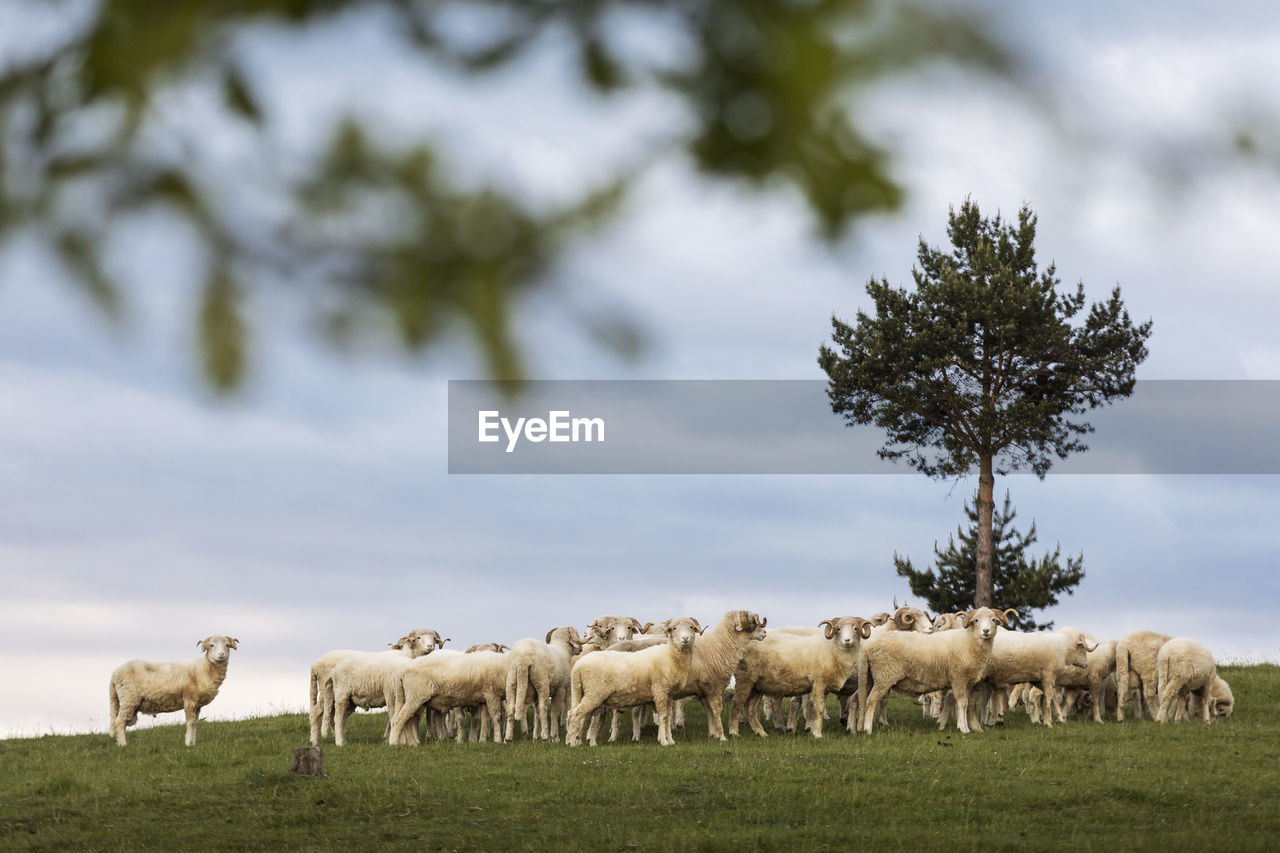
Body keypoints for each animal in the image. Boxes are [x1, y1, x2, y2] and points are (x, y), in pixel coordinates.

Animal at [108, 630, 240, 742]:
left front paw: (193, 743)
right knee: (119, 722)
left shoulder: (197, 704)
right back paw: (123, 745)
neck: (203, 669)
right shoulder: (189, 700)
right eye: (211, 645)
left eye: (227, 645)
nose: (221, 654)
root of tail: (114, 674)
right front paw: (188, 744)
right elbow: (190, 723)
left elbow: (195, 724)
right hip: (129, 699)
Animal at [568, 614, 701, 742]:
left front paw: (634, 735)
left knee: (676, 705)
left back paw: (676, 723)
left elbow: (634, 713)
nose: (586, 635)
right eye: (610, 627)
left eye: (629, 627)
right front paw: (608, 735)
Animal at [732, 612, 870, 737]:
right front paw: (817, 734)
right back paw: (735, 731)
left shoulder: (824, 687)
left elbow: (814, 707)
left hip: (757, 685)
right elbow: (819, 707)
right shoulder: (819, 682)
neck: (832, 650)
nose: (847, 641)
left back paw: (760, 732)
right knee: (737, 703)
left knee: (750, 707)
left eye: (855, 628)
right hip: (745, 679)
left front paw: (812, 729)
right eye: (838, 629)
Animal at [855, 604, 1013, 732]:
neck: (969, 641)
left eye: (993, 620)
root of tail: (869, 646)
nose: (986, 631)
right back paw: (868, 729)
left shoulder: (967, 682)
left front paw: (961, 725)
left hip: (871, 678)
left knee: (865, 700)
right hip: (884, 676)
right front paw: (964, 729)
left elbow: (965, 704)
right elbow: (962, 702)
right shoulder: (958, 678)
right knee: (871, 700)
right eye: (976, 620)